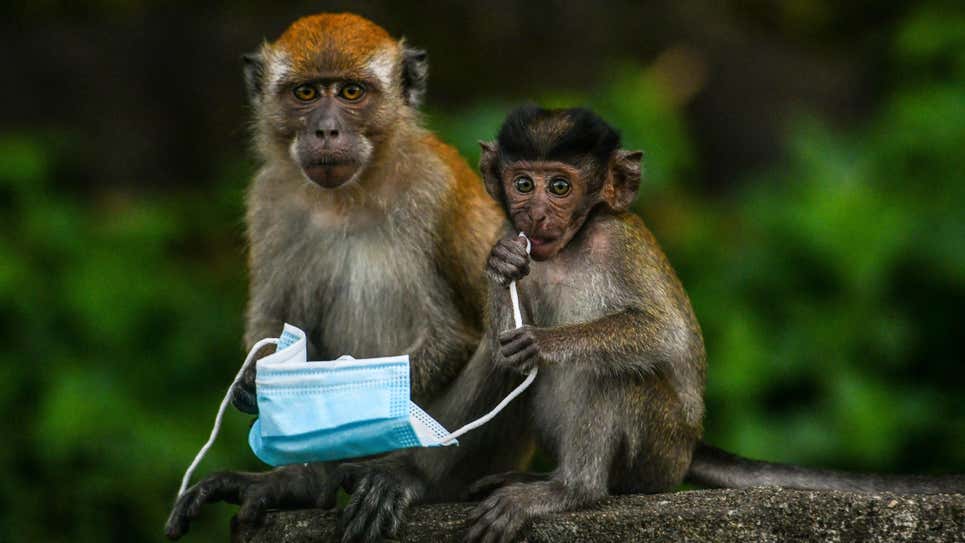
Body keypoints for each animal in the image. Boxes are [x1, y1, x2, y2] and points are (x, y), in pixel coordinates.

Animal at [163, 13, 514, 540]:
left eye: (351, 92)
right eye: (306, 93)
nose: (326, 130)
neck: (349, 195)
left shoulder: (431, 190)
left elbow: (454, 335)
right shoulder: (269, 201)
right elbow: (275, 320)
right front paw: (252, 385)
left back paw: (404, 476)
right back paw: (299, 483)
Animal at [461, 105, 965, 543]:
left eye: (560, 187)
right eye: (523, 183)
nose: (535, 214)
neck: (568, 248)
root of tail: (691, 447)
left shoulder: (617, 243)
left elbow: (664, 333)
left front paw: (544, 342)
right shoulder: (507, 230)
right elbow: (504, 353)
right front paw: (501, 265)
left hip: (661, 453)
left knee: (618, 372)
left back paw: (571, 490)